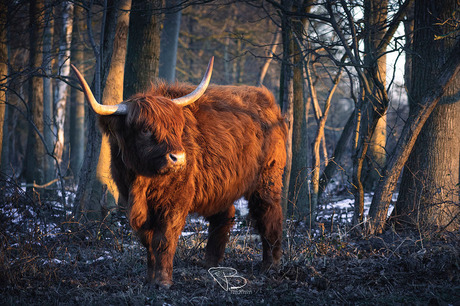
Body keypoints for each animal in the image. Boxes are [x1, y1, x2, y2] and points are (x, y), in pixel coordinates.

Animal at [71, 58, 288, 290]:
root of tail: (268, 102)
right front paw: (150, 279)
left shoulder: (175, 201)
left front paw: (164, 280)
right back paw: (210, 263)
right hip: (220, 184)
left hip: (267, 179)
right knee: (225, 215)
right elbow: (147, 240)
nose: (178, 158)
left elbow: (164, 238)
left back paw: (270, 265)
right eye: (145, 129)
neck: (143, 180)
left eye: (177, 128)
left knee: (269, 213)